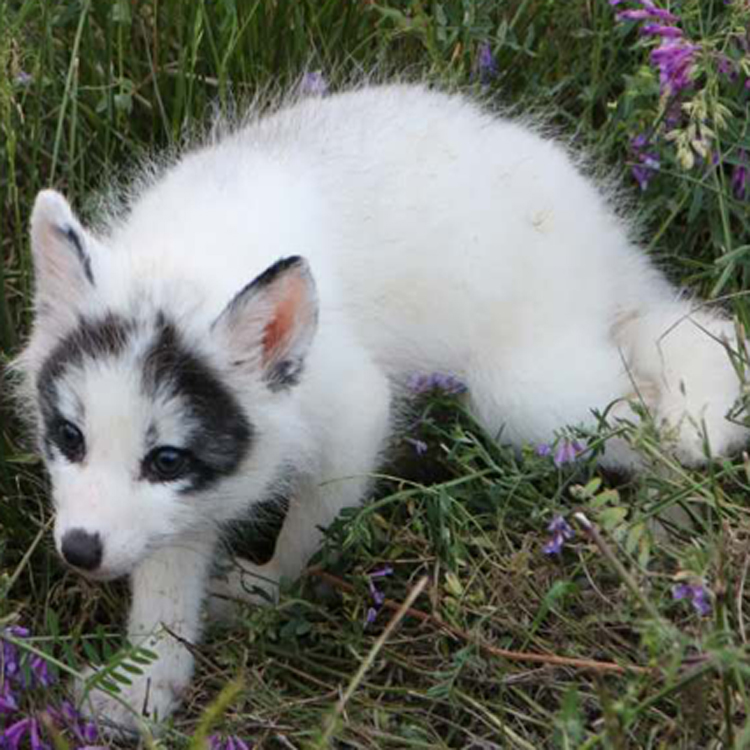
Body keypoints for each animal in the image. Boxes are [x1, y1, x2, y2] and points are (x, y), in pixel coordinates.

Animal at [14, 85, 748, 732]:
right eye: (70, 438)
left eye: (164, 458)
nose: (78, 552)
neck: (194, 256)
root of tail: (605, 232)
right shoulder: (201, 488)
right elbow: (166, 580)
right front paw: (143, 686)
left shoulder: (353, 410)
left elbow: (307, 535)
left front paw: (262, 591)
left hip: (522, 397)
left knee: (674, 378)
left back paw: (671, 506)